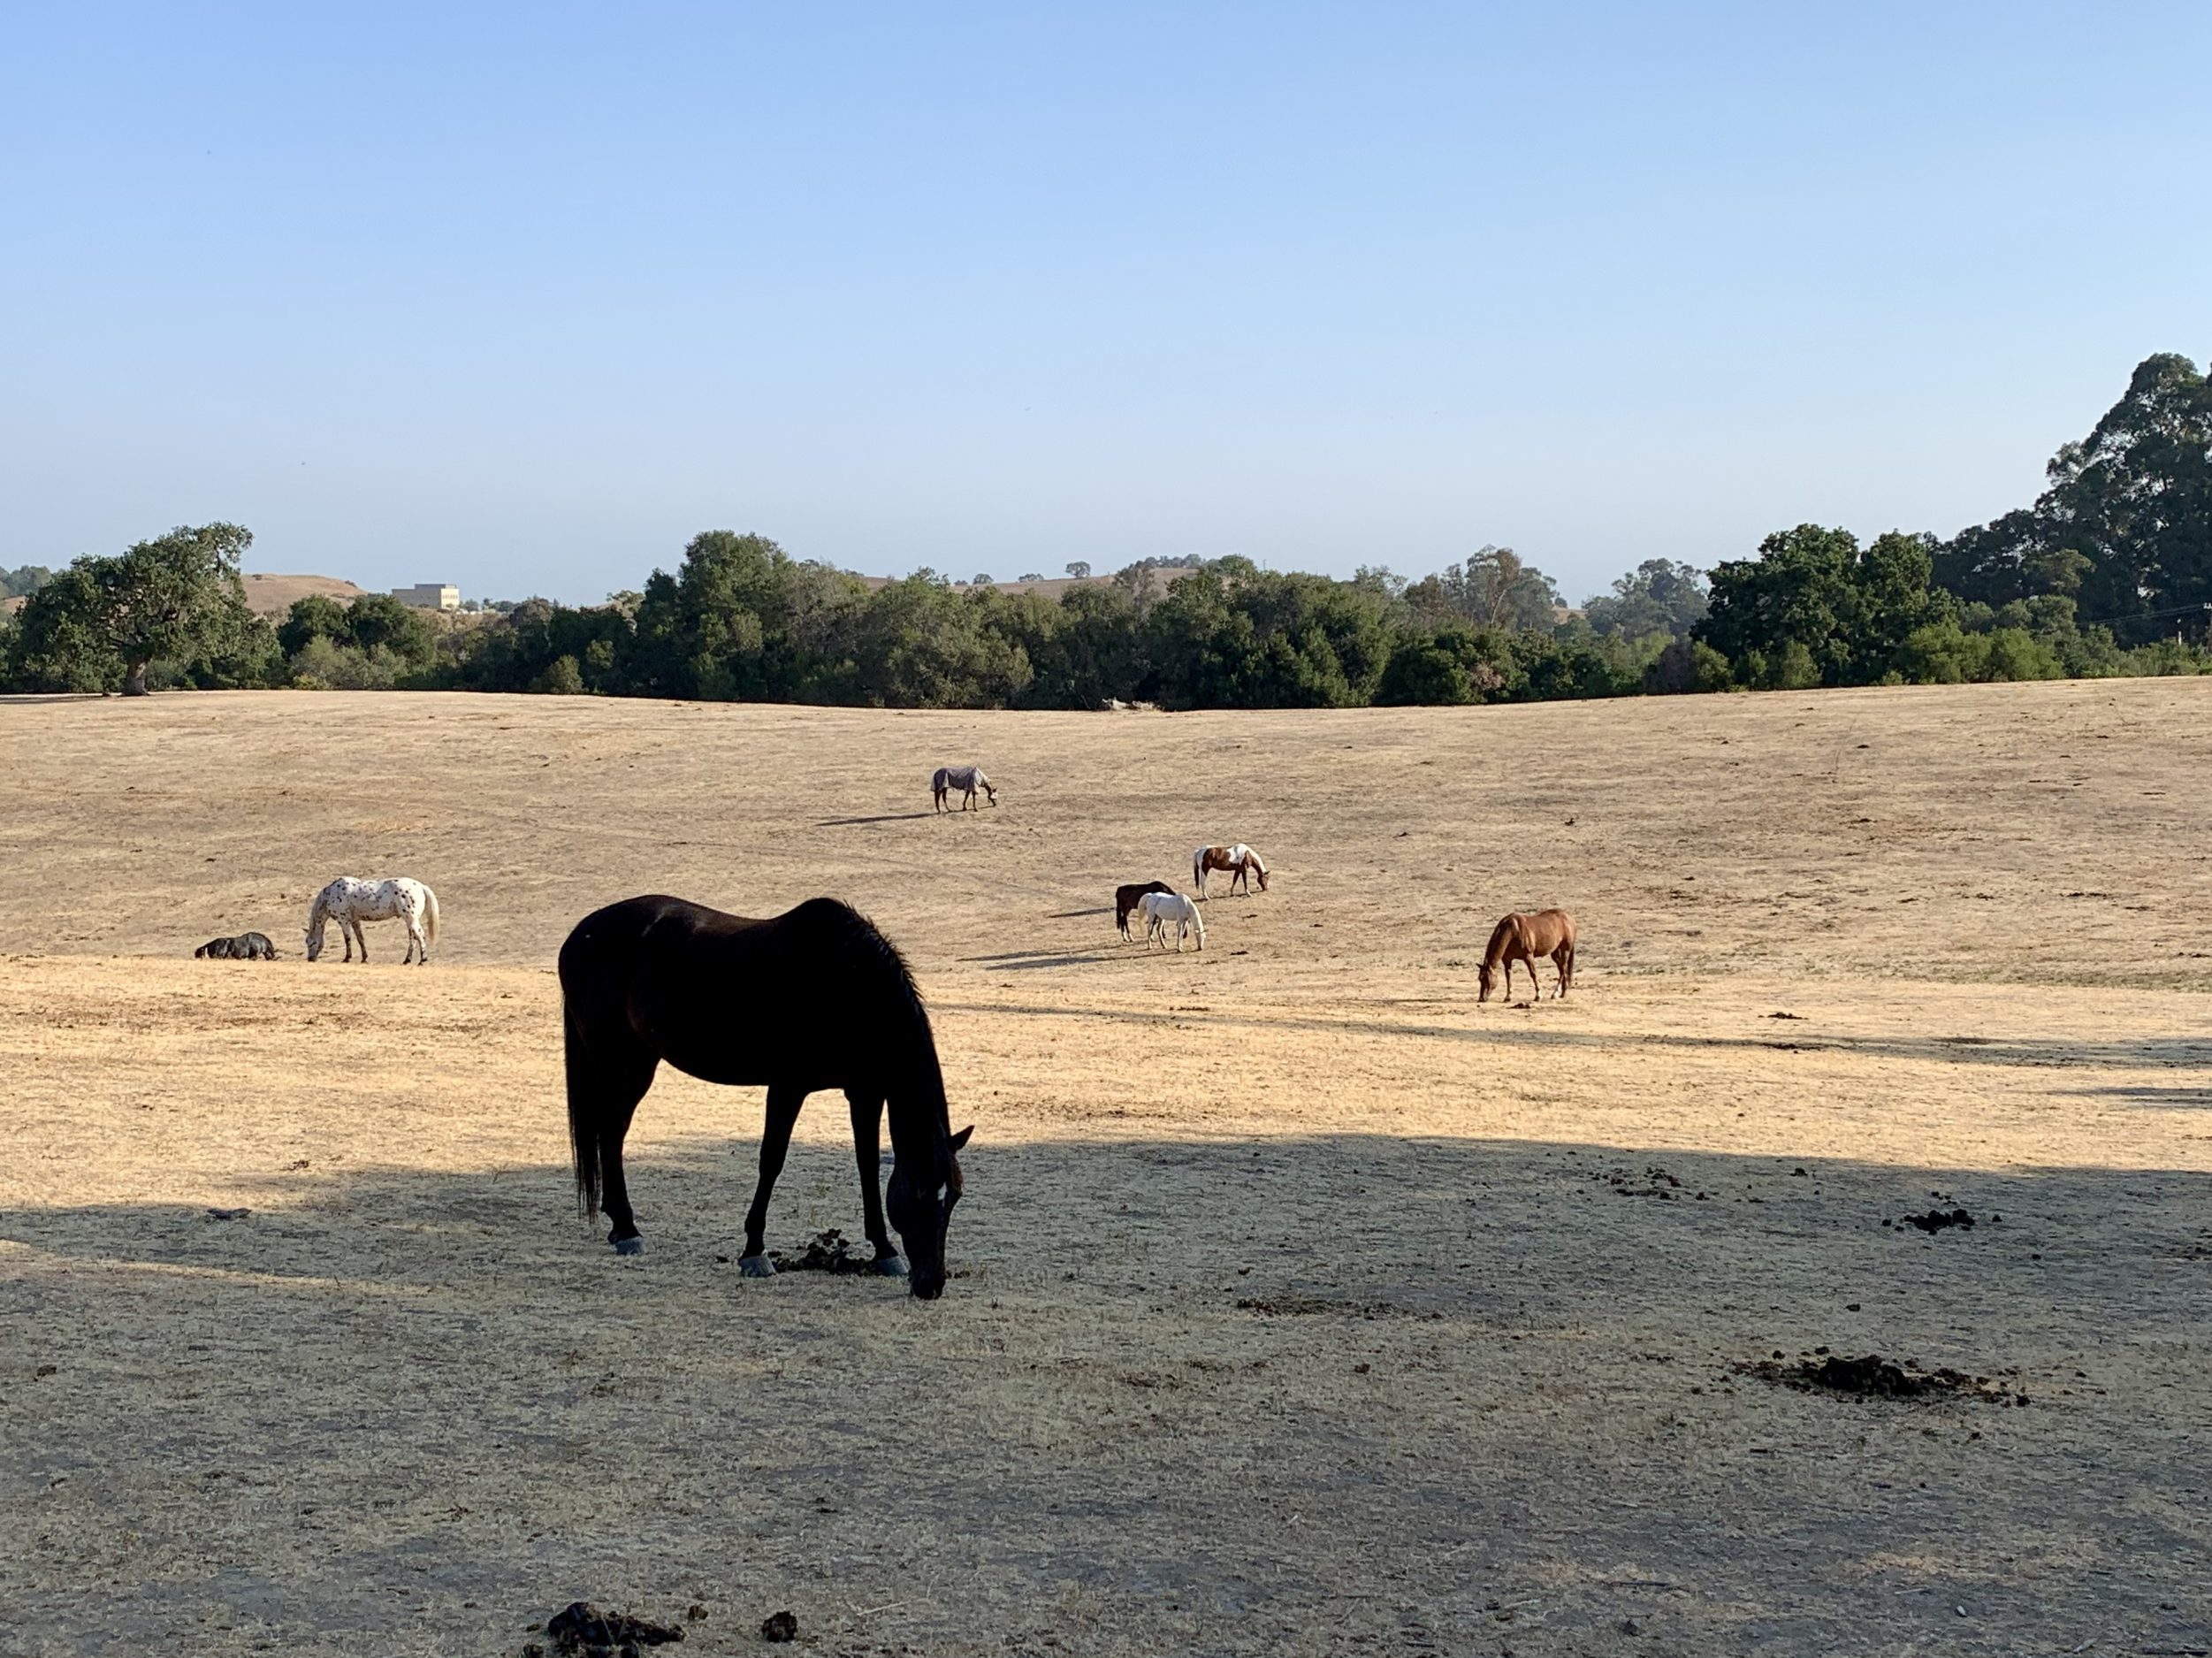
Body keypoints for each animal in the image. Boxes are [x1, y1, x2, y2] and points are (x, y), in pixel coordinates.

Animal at [305, 877, 441, 965]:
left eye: (311, 943)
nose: (310, 959)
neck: (331, 894)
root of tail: (421, 886)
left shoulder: (344, 921)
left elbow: (347, 939)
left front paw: (347, 958)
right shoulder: (355, 921)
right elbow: (360, 939)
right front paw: (364, 958)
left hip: (411, 918)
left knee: (420, 935)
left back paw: (422, 960)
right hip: (409, 920)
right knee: (413, 938)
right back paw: (407, 960)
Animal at [558, 894, 974, 1300]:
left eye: (954, 1196)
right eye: (919, 1194)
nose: (931, 1285)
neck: (846, 984)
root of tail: (580, 934)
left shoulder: (865, 1093)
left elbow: (867, 1165)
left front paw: (885, 1252)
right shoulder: (788, 1087)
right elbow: (771, 1161)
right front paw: (754, 1252)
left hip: (638, 1060)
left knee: (612, 1133)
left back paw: (620, 1225)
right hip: (619, 1062)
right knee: (611, 1132)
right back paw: (627, 1229)